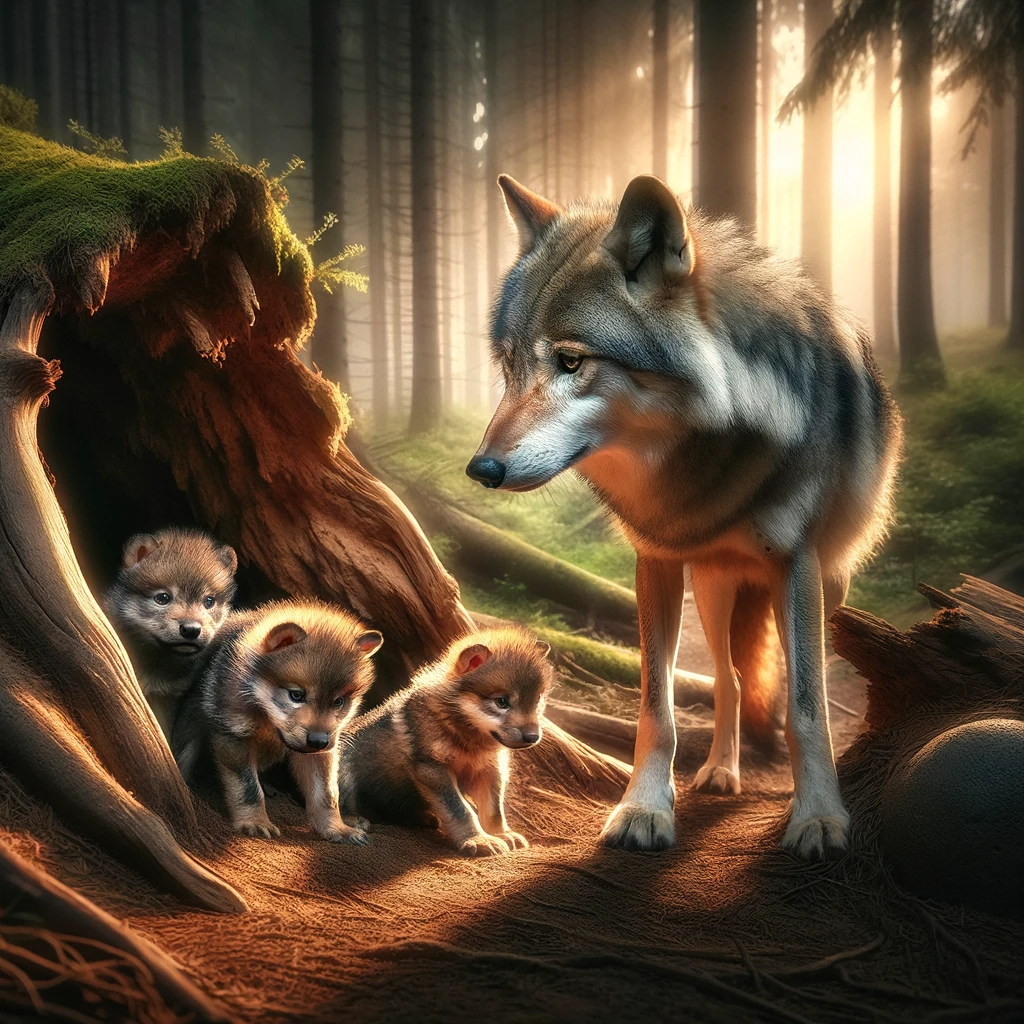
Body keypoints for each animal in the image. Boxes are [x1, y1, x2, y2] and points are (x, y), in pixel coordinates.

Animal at [172, 599, 383, 842]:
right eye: (296, 695)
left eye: (338, 701)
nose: (319, 741)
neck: (267, 722)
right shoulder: (234, 734)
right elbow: (248, 788)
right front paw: (255, 822)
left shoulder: (320, 754)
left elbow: (327, 794)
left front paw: (336, 828)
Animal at [337, 627, 552, 856]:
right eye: (501, 702)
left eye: (537, 701)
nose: (533, 737)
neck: (468, 738)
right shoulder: (433, 770)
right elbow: (461, 810)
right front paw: (478, 840)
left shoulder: (490, 771)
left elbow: (494, 811)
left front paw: (502, 834)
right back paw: (352, 820)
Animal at [467, 174, 902, 860]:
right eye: (510, 366)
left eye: (570, 361)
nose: (481, 468)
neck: (704, 463)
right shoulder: (656, 562)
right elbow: (657, 709)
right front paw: (644, 808)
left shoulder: (797, 567)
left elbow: (808, 708)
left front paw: (818, 816)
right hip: (716, 590)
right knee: (728, 680)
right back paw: (721, 771)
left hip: (828, 584)